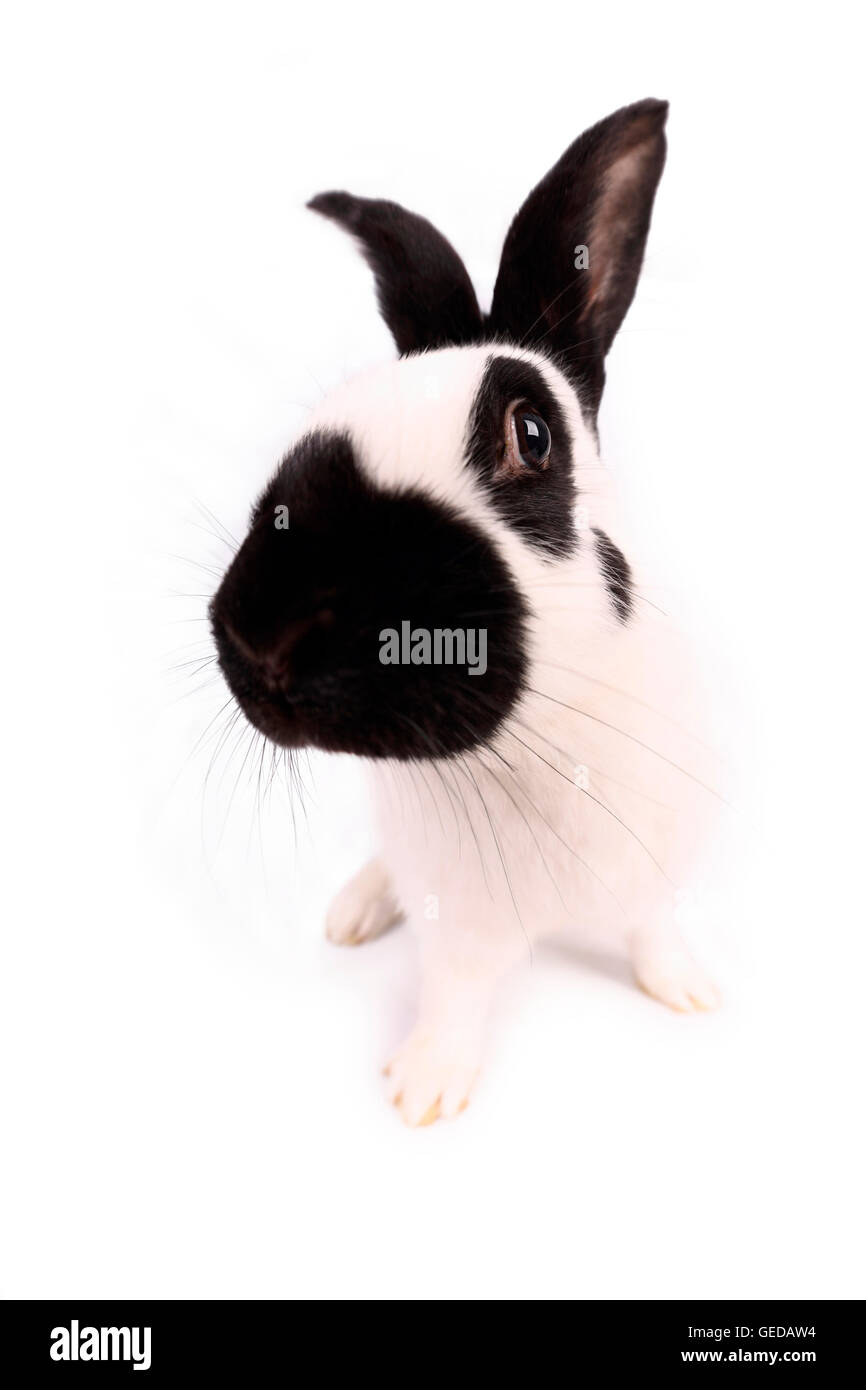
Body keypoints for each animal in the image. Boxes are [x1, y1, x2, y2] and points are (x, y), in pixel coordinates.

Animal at [209, 97, 721, 1126]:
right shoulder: (460, 925)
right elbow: (454, 996)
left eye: (532, 435)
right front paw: (425, 1091)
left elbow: (653, 929)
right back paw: (354, 913)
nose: (264, 638)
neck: (540, 744)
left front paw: (686, 991)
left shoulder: (655, 866)